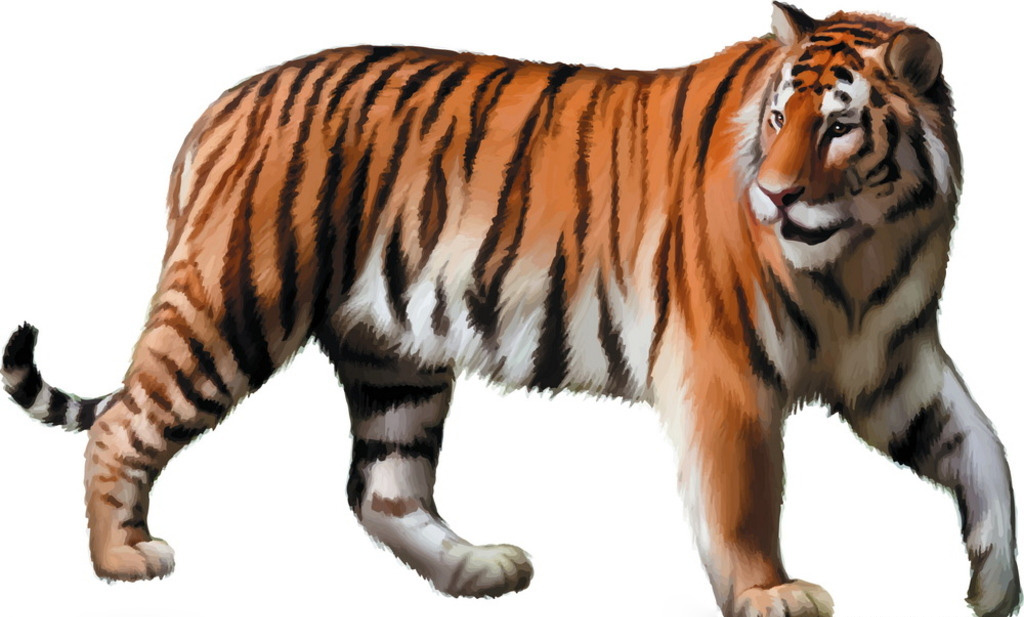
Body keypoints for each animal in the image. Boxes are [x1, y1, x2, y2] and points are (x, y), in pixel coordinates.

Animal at [1, 2, 1018, 616]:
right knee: (124, 423)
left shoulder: (893, 361)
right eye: (779, 118)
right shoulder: (726, 368)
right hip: (233, 305)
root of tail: (220, 106)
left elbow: (981, 448)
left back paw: (477, 568)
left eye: (839, 125)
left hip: (394, 354)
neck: (867, 249)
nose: (771, 196)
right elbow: (745, 497)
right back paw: (123, 558)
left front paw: (994, 583)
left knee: (382, 486)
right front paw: (771, 594)